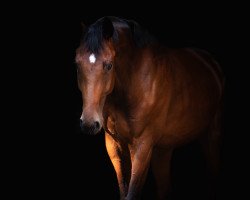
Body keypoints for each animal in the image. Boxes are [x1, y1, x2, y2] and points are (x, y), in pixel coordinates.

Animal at [74, 16, 225, 199]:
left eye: (109, 65)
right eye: (77, 64)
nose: (89, 124)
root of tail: (210, 62)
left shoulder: (143, 146)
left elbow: (132, 193)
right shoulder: (114, 145)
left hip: (212, 134)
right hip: (165, 149)